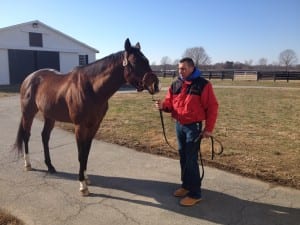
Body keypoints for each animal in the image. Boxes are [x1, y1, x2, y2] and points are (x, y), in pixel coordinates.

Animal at [14, 38, 159, 195]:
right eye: (135, 62)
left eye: (147, 60)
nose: (155, 85)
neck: (91, 88)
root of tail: (29, 78)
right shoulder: (80, 126)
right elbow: (80, 154)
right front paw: (82, 185)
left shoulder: (94, 125)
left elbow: (86, 152)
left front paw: (86, 178)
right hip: (28, 113)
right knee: (26, 135)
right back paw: (28, 164)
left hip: (50, 116)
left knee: (44, 137)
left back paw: (50, 166)